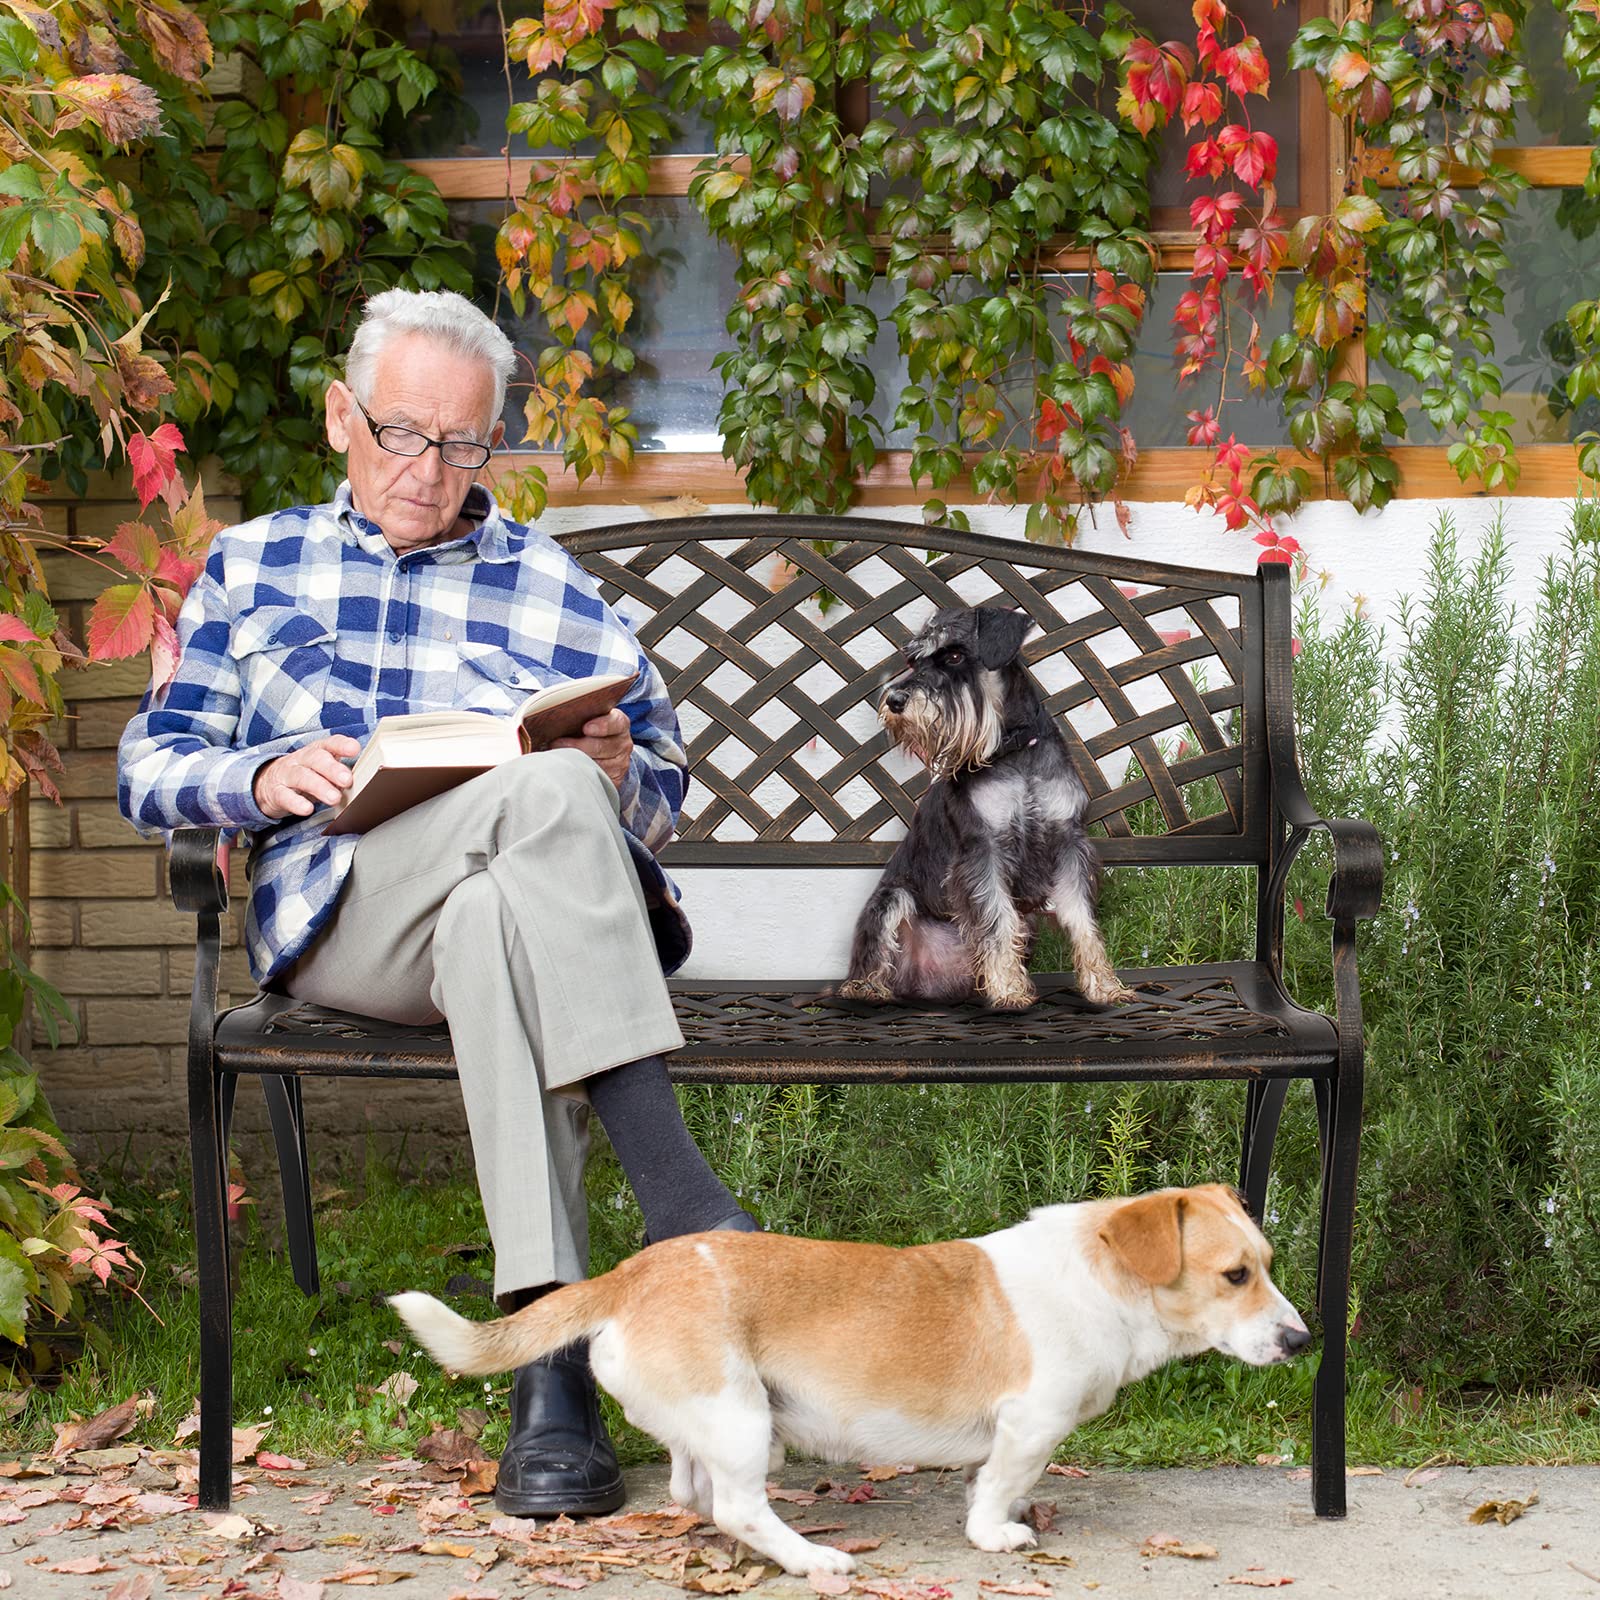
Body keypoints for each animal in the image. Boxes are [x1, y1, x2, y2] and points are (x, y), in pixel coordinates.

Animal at [390, 1190, 1312, 1574]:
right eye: (1234, 1276)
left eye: (1266, 1264)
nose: (1304, 1341)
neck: (1104, 1275)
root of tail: (628, 1275)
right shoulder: (1030, 1425)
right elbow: (996, 1489)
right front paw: (997, 1534)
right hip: (741, 1420)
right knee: (737, 1507)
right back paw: (813, 1560)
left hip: (717, 1420)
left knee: (694, 1491)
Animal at [844, 604, 1132, 1004]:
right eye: (913, 660)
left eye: (953, 656)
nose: (895, 701)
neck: (1015, 749)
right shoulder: (983, 848)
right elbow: (996, 919)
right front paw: (1009, 990)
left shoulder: (1068, 841)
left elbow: (1081, 919)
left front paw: (1103, 985)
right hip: (891, 899)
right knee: (872, 959)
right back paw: (867, 988)